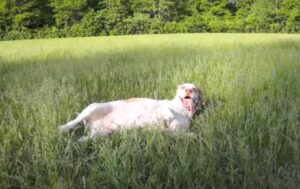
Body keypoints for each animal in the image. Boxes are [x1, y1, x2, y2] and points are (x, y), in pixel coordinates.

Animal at [58, 83, 204, 142]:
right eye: (183, 87)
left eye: (195, 89)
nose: (189, 90)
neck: (182, 110)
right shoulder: (158, 104)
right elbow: (166, 111)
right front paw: (167, 118)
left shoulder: (177, 132)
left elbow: (192, 135)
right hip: (91, 108)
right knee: (72, 122)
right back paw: (62, 129)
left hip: (101, 133)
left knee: (82, 139)